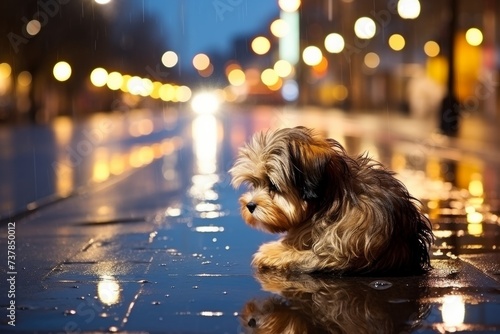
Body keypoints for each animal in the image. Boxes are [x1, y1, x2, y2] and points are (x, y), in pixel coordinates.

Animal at [230, 126, 434, 276]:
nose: (250, 205)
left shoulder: (341, 249)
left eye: (273, 185)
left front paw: (271, 252)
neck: (330, 198)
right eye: (254, 183)